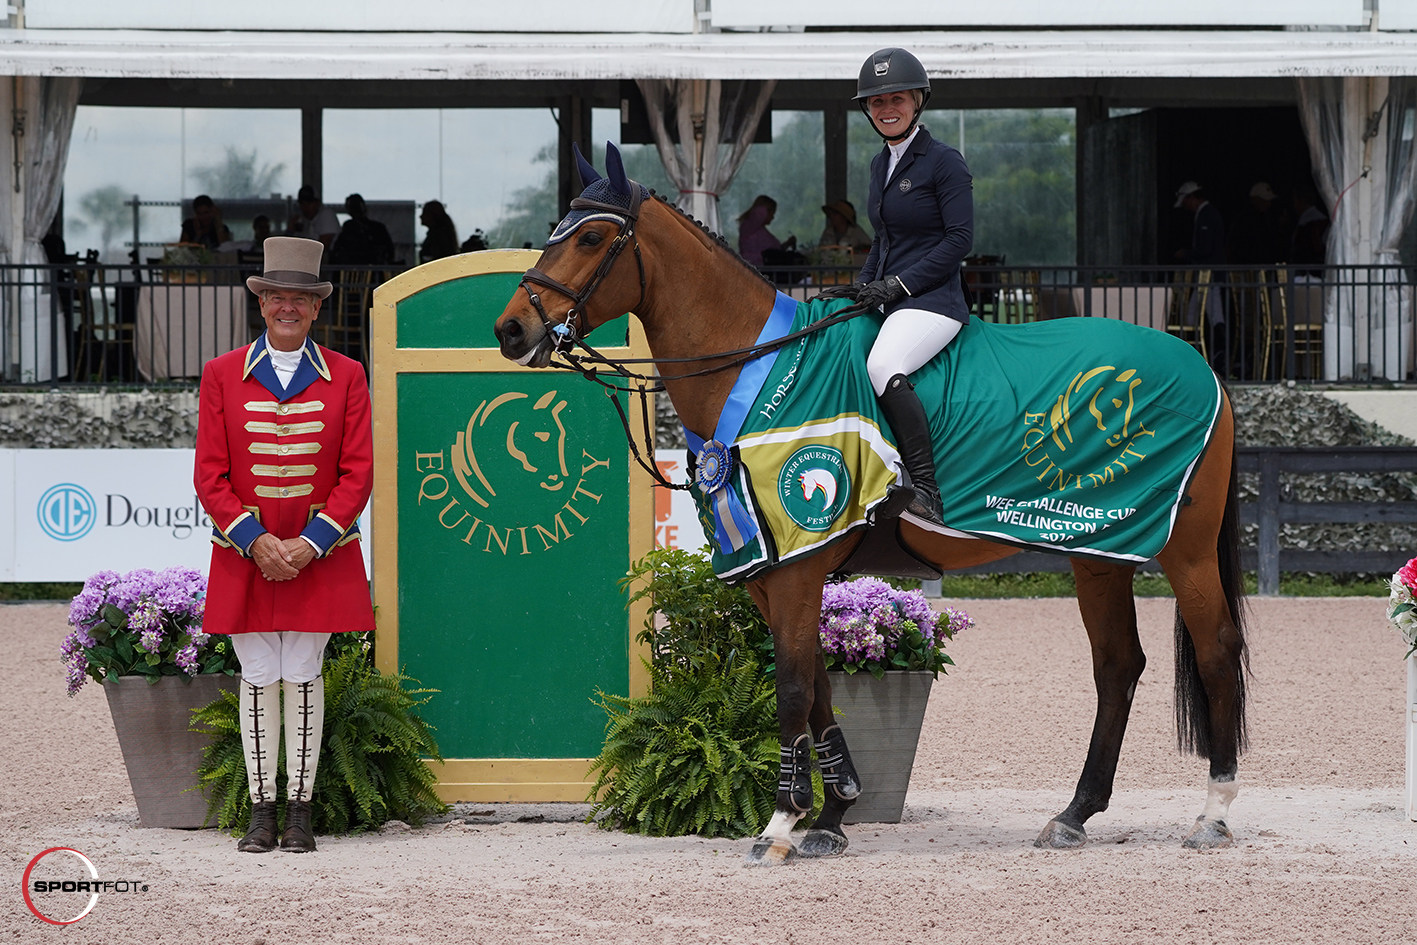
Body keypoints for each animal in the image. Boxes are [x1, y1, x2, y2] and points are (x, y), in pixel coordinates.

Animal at [493, 145, 1246, 867]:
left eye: (591, 236)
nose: (510, 330)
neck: (758, 368)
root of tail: (1204, 365)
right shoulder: (772, 570)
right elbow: (819, 685)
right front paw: (833, 812)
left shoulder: (799, 561)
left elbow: (794, 688)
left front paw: (779, 825)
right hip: (1097, 550)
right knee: (1117, 666)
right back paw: (1073, 815)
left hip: (1183, 547)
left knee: (1215, 650)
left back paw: (1211, 815)